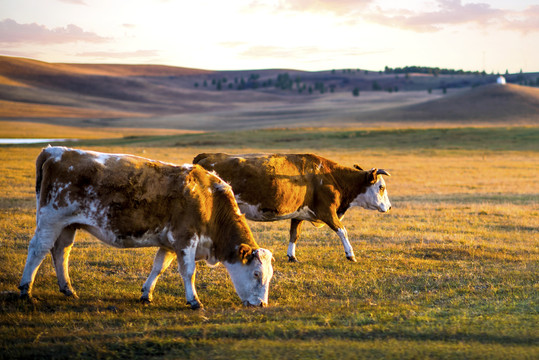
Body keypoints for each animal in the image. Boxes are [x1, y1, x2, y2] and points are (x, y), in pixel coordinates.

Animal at [19, 146, 274, 310]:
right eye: (256, 273)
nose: (262, 304)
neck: (209, 199)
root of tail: (53, 151)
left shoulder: (170, 243)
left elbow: (159, 267)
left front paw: (146, 294)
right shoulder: (186, 238)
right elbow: (188, 271)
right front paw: (194, 301)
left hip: (68, 225)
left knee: (61, 252)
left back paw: (68, 289)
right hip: (51, 219)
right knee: (38, 250)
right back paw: (26, 291)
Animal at [194, 152, 392, 262]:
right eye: (381, 187)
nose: (389, 207)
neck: (331, 177)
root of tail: (204, 157)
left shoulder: (299, 213)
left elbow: (294, 234)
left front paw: (292, 256)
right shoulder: (327, 211)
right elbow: (342, 231)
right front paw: (350, 254)